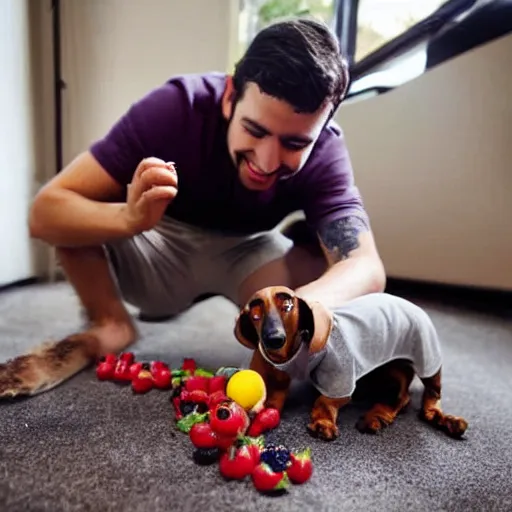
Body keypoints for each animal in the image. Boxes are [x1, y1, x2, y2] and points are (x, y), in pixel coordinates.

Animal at [234, 286, 470, 442]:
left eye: (288, 305)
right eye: (255, 315)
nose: (274, 339)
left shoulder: (340, 376)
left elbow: (325, 401)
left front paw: (323, 422)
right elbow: (274, 400)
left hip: (426, 358)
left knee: (426, 395)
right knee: (402, 397)